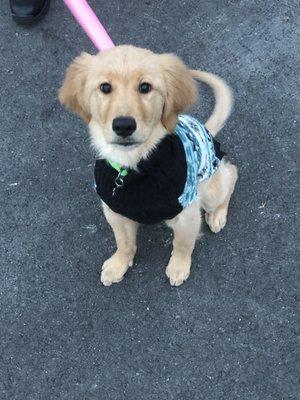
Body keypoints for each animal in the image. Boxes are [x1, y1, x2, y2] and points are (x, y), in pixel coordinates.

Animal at [58, 45, 237, 286]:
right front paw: (118, 264)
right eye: (105, 87)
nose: (123, 125)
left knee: (232, 173)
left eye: (145, 87)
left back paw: (217, 215)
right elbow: (123, 242)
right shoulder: (114, 211)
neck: (134, 165)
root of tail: (206, 130)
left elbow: (182, 244)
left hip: (209, 191)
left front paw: (179, 267)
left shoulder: (187, 213)